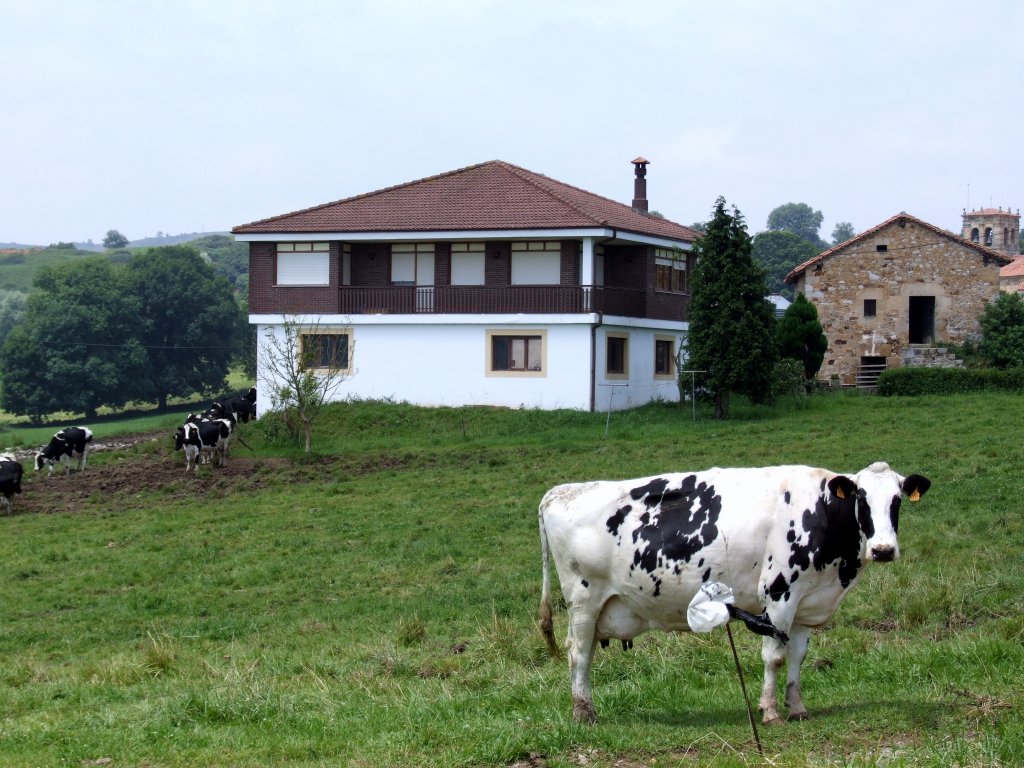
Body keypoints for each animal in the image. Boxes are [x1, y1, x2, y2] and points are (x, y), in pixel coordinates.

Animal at [540, 462, 933, 729]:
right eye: (861, 499)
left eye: (897, 501)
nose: (883, 549)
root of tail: (560, 491)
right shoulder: (780, 593)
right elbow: (774, 657)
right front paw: (770, 711)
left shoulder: (806, 601)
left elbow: (797, 656)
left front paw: (797, 707)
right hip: (584, 600)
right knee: (579, 654)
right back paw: (583, 712)